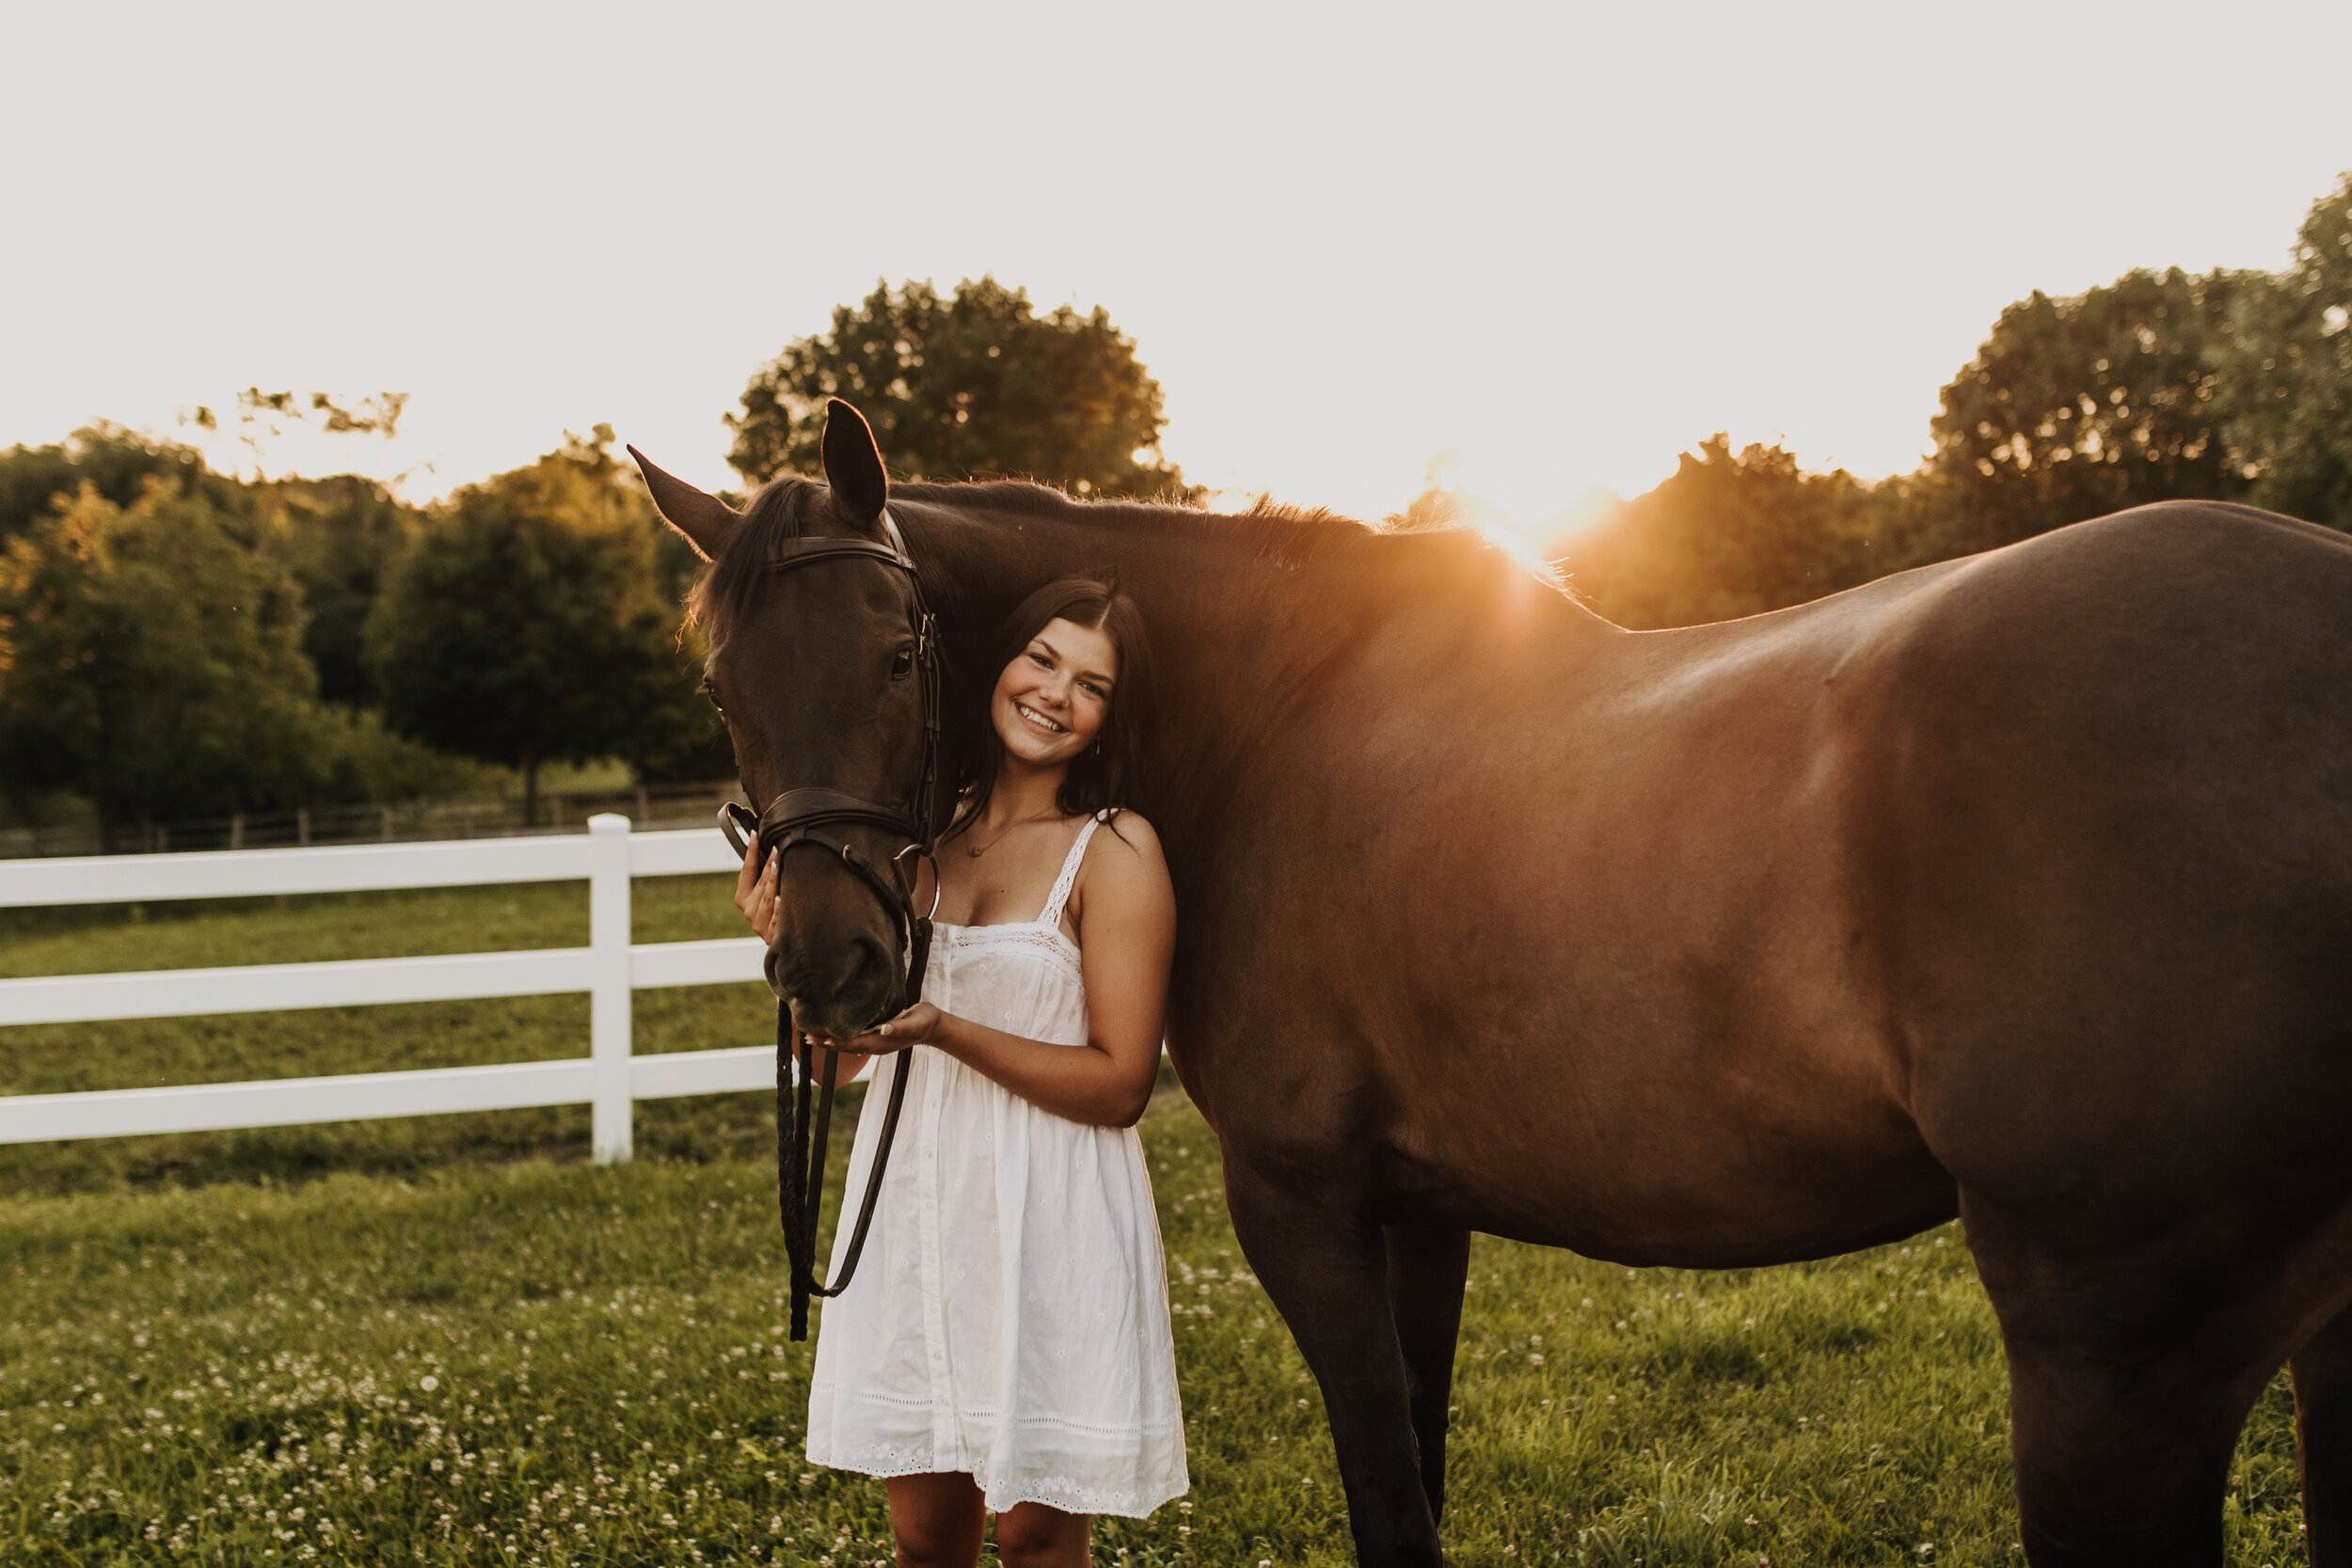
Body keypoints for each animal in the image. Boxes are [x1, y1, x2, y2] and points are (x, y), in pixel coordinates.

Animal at [630, 404, 2352, 1568]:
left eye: (900, 649)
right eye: (719, 684)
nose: (833, 964)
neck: (1276, 716)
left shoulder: (1308, 1203)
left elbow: (1390, 1497)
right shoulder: (1423, 1212)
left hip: (2114, 1341)